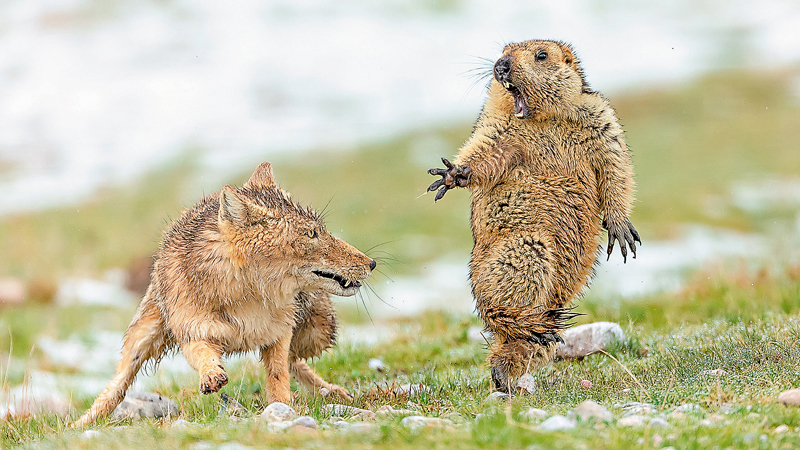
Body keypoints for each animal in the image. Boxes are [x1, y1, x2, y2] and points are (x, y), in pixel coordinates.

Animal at [75, 162, 376, 426]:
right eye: (311, 234)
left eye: (320, 231)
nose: (372, 263)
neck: (246, 298)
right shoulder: (194, 331)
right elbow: (203, 355)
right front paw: (211, 376)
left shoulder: (278, 334)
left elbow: (279, 376)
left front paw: (284, 409)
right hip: (141, 337)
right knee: (117, 386)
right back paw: (81, 423)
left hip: (317, 332)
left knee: (296, 361)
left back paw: (333, 392)